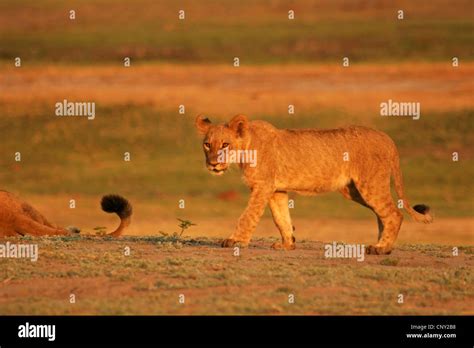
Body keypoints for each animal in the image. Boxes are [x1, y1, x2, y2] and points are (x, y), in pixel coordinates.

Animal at [195, 115, 434, 254]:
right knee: (383, 214)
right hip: (354, 190)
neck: (246, 147)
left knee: (394, 213)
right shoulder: (276, 190)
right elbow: (281, 218)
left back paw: (381, 248)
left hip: (370, 184)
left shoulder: (262, 186)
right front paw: (288, 244)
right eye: (207, 144)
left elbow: (248, 216)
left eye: (225, 144)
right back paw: (383, 245)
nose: (213, 163)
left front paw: (235, 242)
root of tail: (388, 139)